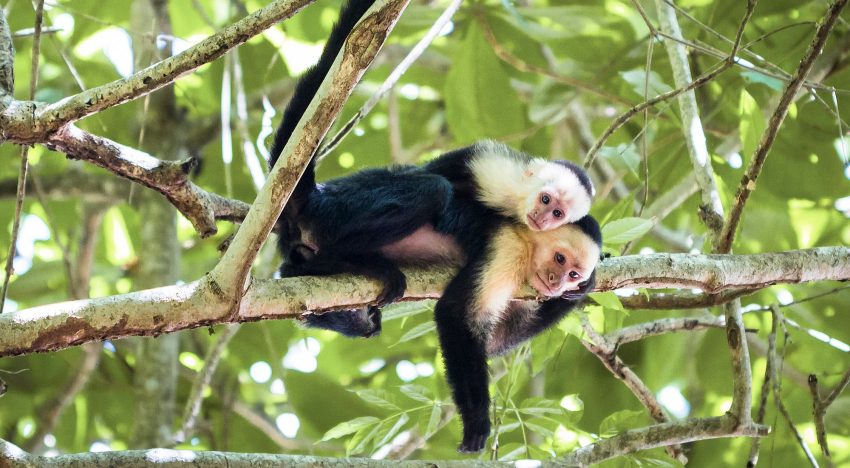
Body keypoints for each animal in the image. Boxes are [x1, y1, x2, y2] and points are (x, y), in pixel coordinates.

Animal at [268, 0, 600, 456]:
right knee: (430, 188)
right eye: (559, 257)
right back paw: (348, 260)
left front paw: (582, 292)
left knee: (360, 318)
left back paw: (306, 272)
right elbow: (457, 315)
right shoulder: (507, 247)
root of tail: (314, 197)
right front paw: (477, 423)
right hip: (342, 208)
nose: (555, 280)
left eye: (572, 272)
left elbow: (498, 341)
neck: (528, 240)